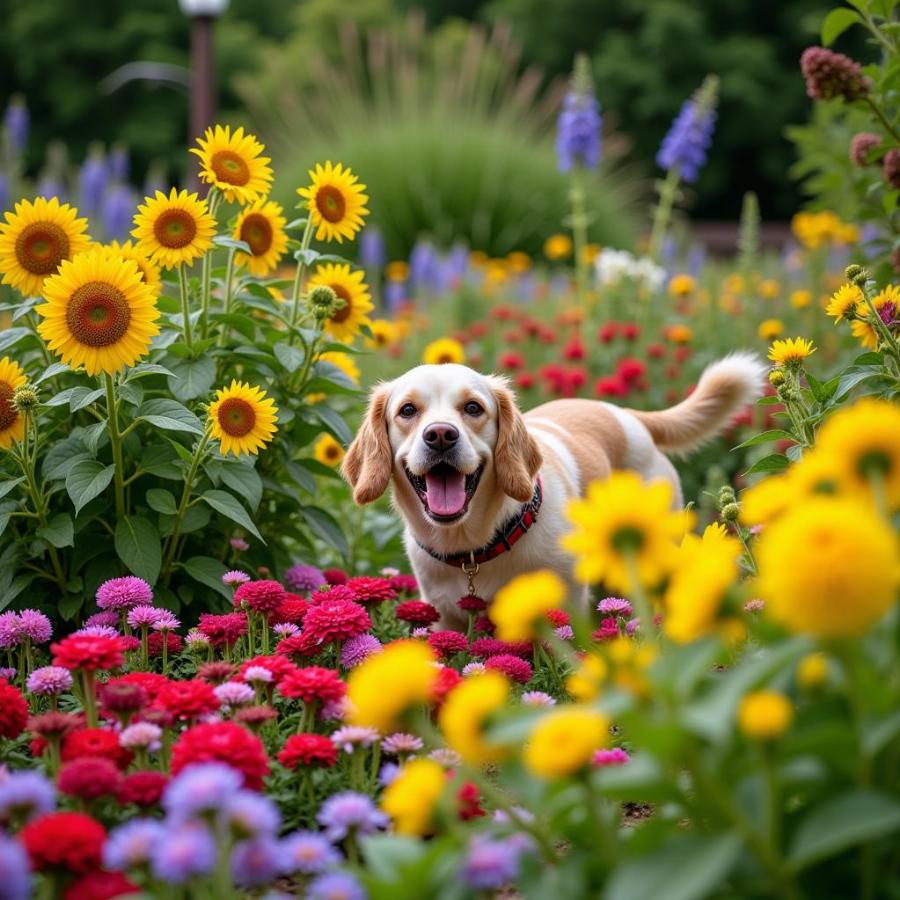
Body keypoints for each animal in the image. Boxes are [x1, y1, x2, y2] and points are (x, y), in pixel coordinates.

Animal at [342, 356, 764, 628]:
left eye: (473, 408)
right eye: (408, 410)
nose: (441, 435)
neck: (474, 548)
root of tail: (628, 414)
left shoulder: (567, 609)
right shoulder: (442, 617)